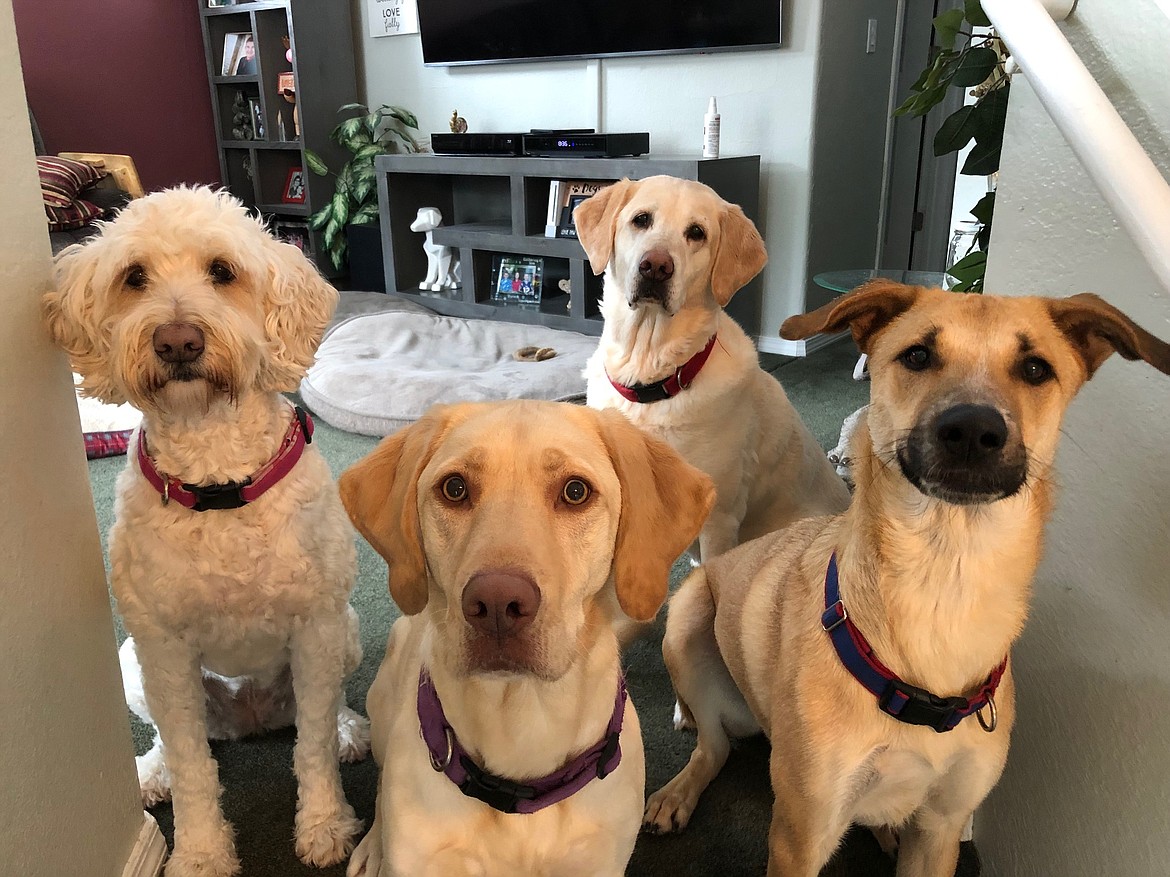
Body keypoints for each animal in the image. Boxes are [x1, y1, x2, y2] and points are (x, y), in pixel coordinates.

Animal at [42, 187, 369, 877]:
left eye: (223, 271)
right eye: (133, 277)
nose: (177, 341)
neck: (217, 473)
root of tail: (249, 717)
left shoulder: (317, 625)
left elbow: (312, 745)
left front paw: (324, 826)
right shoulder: (164, 650)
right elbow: (194, 766)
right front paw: (199, 854)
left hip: (347, 631)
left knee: (324, 710)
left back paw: (350, 730)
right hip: (134, 665)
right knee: (170, 741)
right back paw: (151, 773)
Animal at [645, 282, 1170, 877]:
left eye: (1035, 368)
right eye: (918, 356)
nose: (973, 430)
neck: (944, 579)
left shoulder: (941, 830)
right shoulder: (800, 836)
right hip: (687, 620)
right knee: (712, 747)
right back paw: (675, 794)